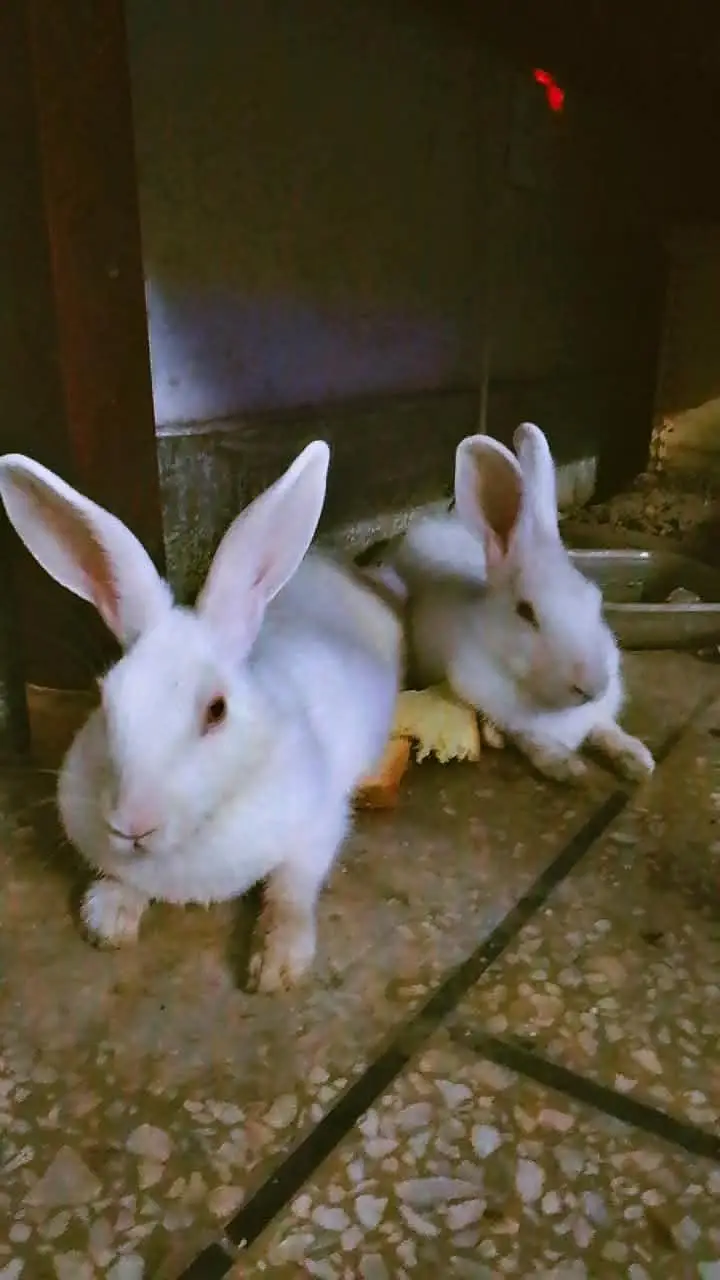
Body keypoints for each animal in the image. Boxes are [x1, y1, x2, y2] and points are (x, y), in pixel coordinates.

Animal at [0, 442, 403, 991]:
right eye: (106, 697)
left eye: (216, 710)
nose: (132, 825)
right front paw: (108, 917)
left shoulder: (318, 823)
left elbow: (291, 889)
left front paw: (277, 964)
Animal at [387, 422, 655, 786]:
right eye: (526, 612)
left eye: (596, 600)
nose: (593, 686)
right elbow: (530, 737)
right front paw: (568, 767)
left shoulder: (598, 715)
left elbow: (606, 728)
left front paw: (638, 760)